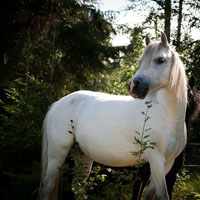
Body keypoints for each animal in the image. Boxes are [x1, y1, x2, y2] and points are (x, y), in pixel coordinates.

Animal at [39, 32, 188, 199]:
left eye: (160, 60)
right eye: (140, 61)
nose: (133, 85)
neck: (165, 116)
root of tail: (57, 104)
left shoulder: (167, 163)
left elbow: (150, 194)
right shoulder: (156, 161)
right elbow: (162, 195)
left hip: (82, 154)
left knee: (78, 186)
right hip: (57, 152)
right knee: (48, 185)